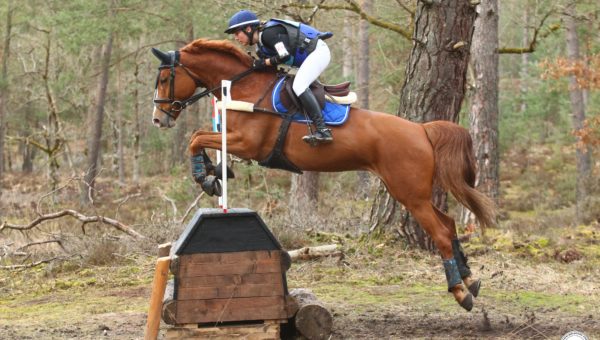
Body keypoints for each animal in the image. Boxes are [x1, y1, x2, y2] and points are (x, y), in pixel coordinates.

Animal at [151, 38, 496, 310]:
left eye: (165, 77)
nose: (158, 119)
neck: (244, 87)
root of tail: (422, 129)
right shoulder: (235, 141)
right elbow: (200, 138)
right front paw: (213, 173)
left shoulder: (247, 143)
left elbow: (195, 138)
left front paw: (206, 177)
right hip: (414, 193)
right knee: (449, 224)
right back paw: (470, 279)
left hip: (410, 194)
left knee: (441, 234)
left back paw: (460, 292)